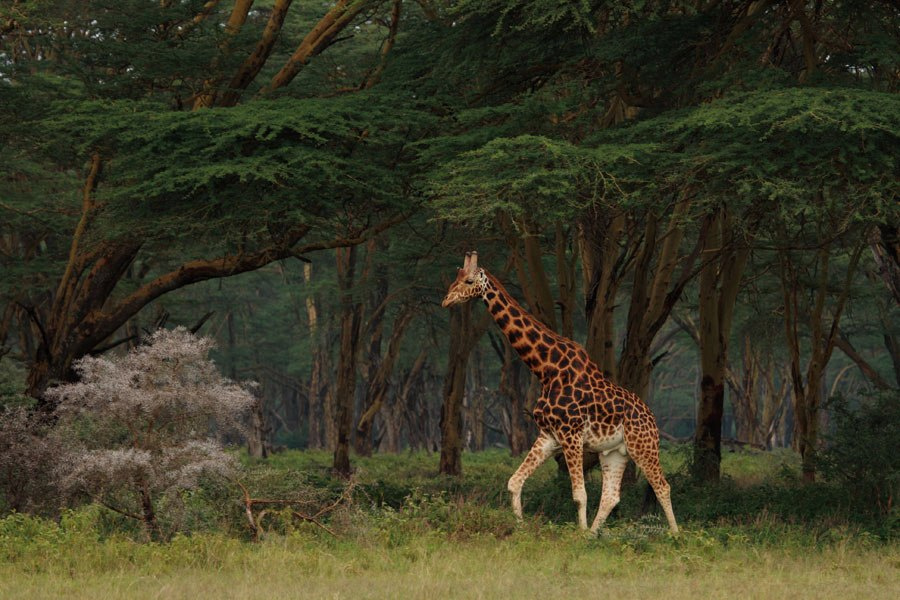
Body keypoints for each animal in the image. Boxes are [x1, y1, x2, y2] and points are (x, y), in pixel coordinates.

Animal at [442, 251, 678, 534]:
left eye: (468, 280)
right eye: (455, 276)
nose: (446, 300)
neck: (546, 369)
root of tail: (652, 418)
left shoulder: (571, 435)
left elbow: (579, 495)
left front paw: (577, 535)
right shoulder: (548, 436)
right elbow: (514, 482)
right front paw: (522, 527)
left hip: (643, 446)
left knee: (662, 486)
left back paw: (675, 536)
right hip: (614, 452)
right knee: (611, 496)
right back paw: (594, 535)